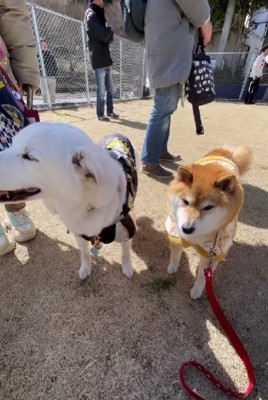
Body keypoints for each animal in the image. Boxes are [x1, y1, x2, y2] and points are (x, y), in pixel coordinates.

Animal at [0, 123, 140, 280]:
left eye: (29, 156)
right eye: (11, 144)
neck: (84, 208)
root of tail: (115, 132)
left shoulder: (127, 234)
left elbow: (126, 253)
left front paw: (127, 268)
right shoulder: (79, 234)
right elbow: (84, 254)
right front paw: (85, 269)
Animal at [165, 145, 251, 298]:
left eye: (208, 207)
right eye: (185, 201)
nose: (186, 229)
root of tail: (225, 152)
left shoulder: (212, 252)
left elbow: (202, 276)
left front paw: (197, 290)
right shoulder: (175, 233)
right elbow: (175, 255)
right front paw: (172, 267)